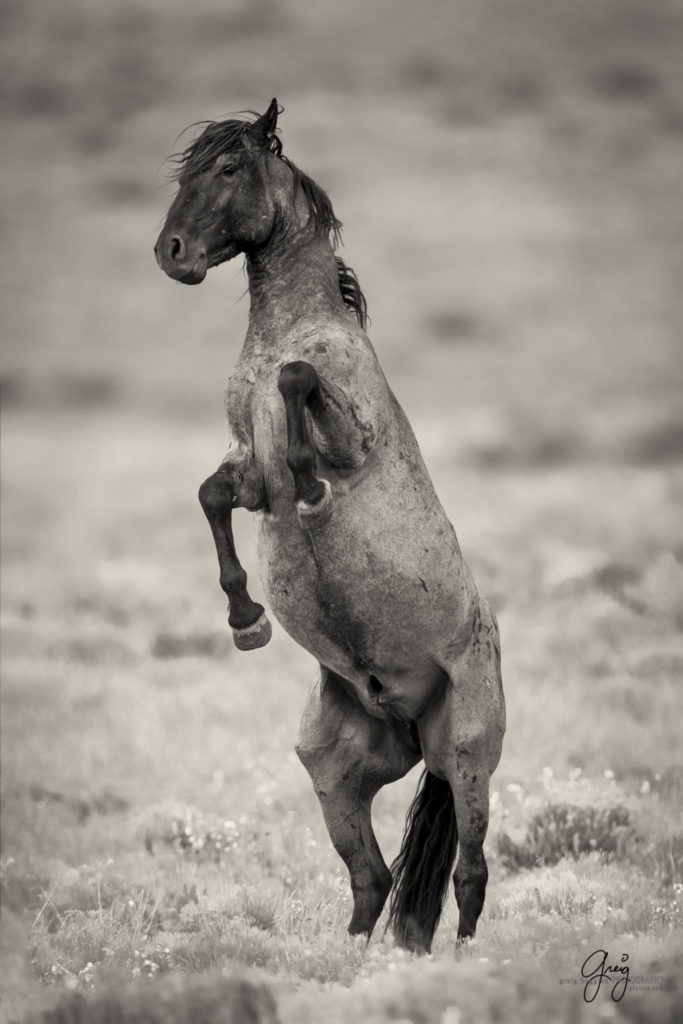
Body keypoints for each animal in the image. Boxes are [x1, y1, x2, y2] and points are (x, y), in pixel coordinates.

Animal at [156, 97, 507, 950]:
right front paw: (245, 619)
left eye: (227, 167)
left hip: (467, 756)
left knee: (470, 874)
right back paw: (352, 960)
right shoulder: (248, 472)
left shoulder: (351, 438)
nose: (170, 253)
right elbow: (210, 496)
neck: (289, 327)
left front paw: (312, 487)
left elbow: (297, 380)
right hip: (332, 770)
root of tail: (409, 722)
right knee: (371, 878)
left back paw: (461, 962)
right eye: (185, 170)